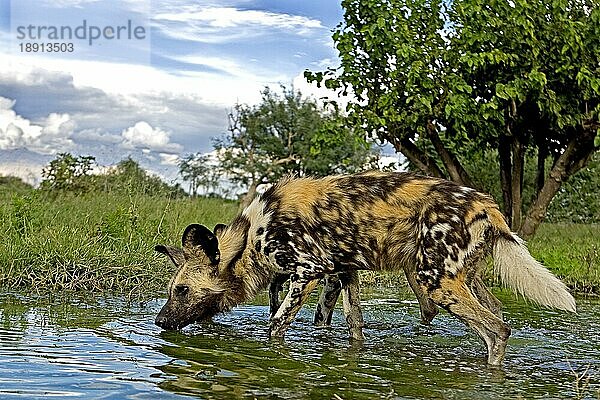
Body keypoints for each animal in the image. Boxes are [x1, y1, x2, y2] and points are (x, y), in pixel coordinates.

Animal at [156, 171, 576, 366]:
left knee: (497, 330)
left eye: (182, 290)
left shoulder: (308, 273)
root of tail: (486, 204)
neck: (251, 237)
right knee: (498, 316)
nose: (159, 321)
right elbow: (352, 325)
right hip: (459, 279)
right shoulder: (343, 273)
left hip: (434, 282)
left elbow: (275, 327)